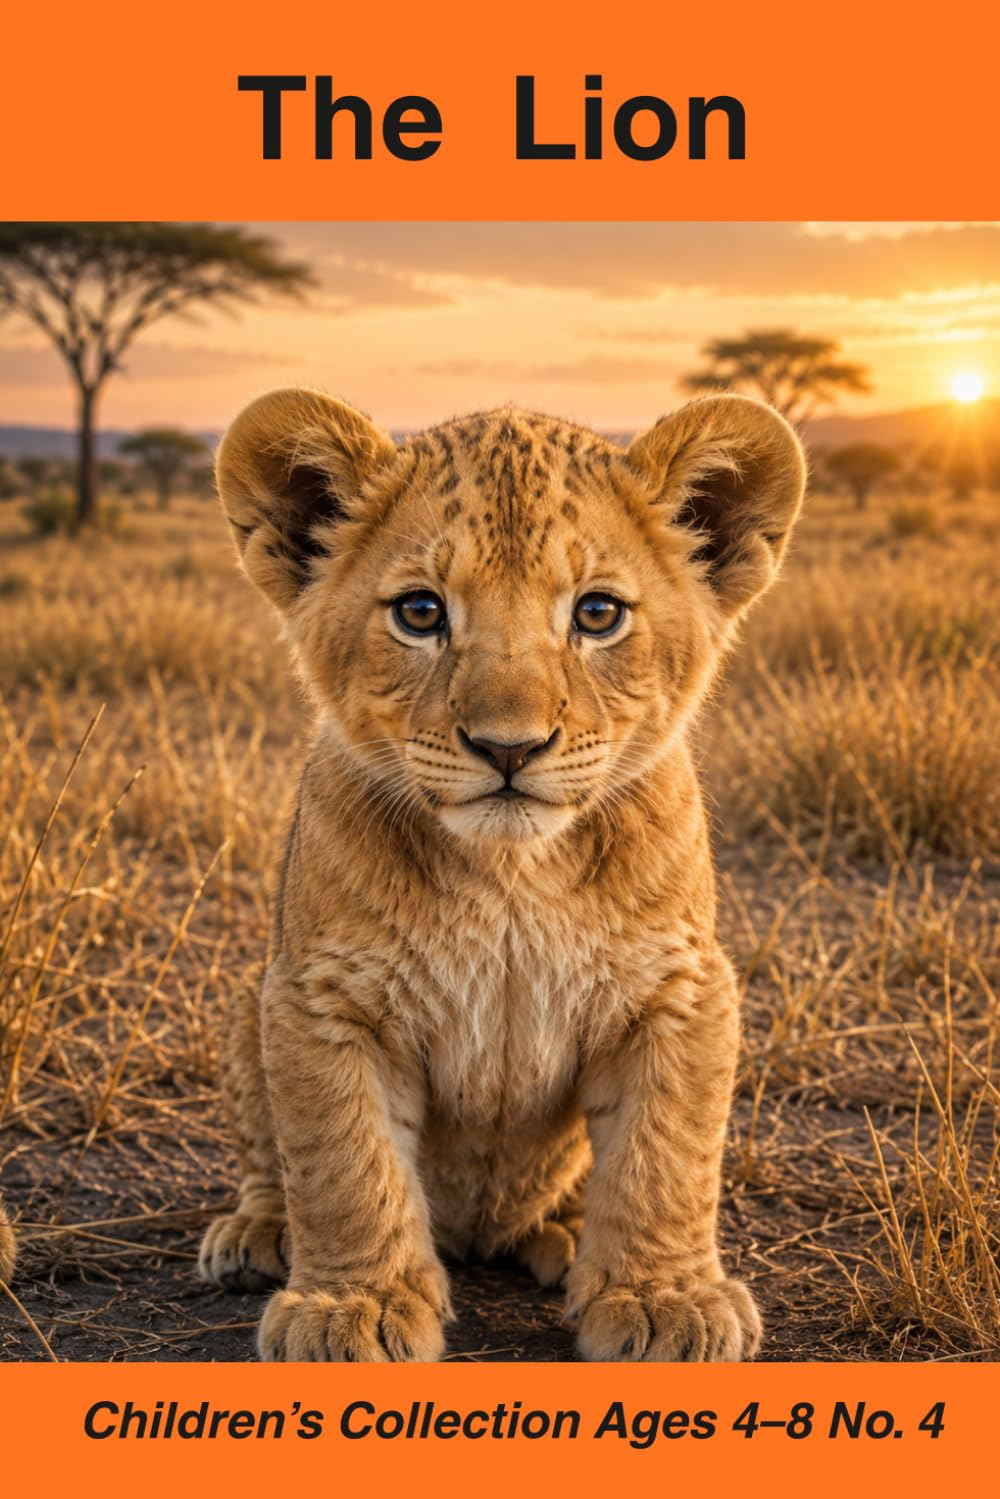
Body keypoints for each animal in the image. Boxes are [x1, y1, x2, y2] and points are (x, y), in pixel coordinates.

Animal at [199, 387, 805, 1362]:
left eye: (597, 614)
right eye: (420, 612)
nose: (509, 747)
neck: (513, 877)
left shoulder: (681, 989)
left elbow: (667, 1155)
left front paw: (663, 1298)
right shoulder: (319, 996)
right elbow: (342, 1162)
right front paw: (350, 1307)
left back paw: (563, 1233)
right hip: (245, 1003)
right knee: (270, 1157)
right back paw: (259, 1233)